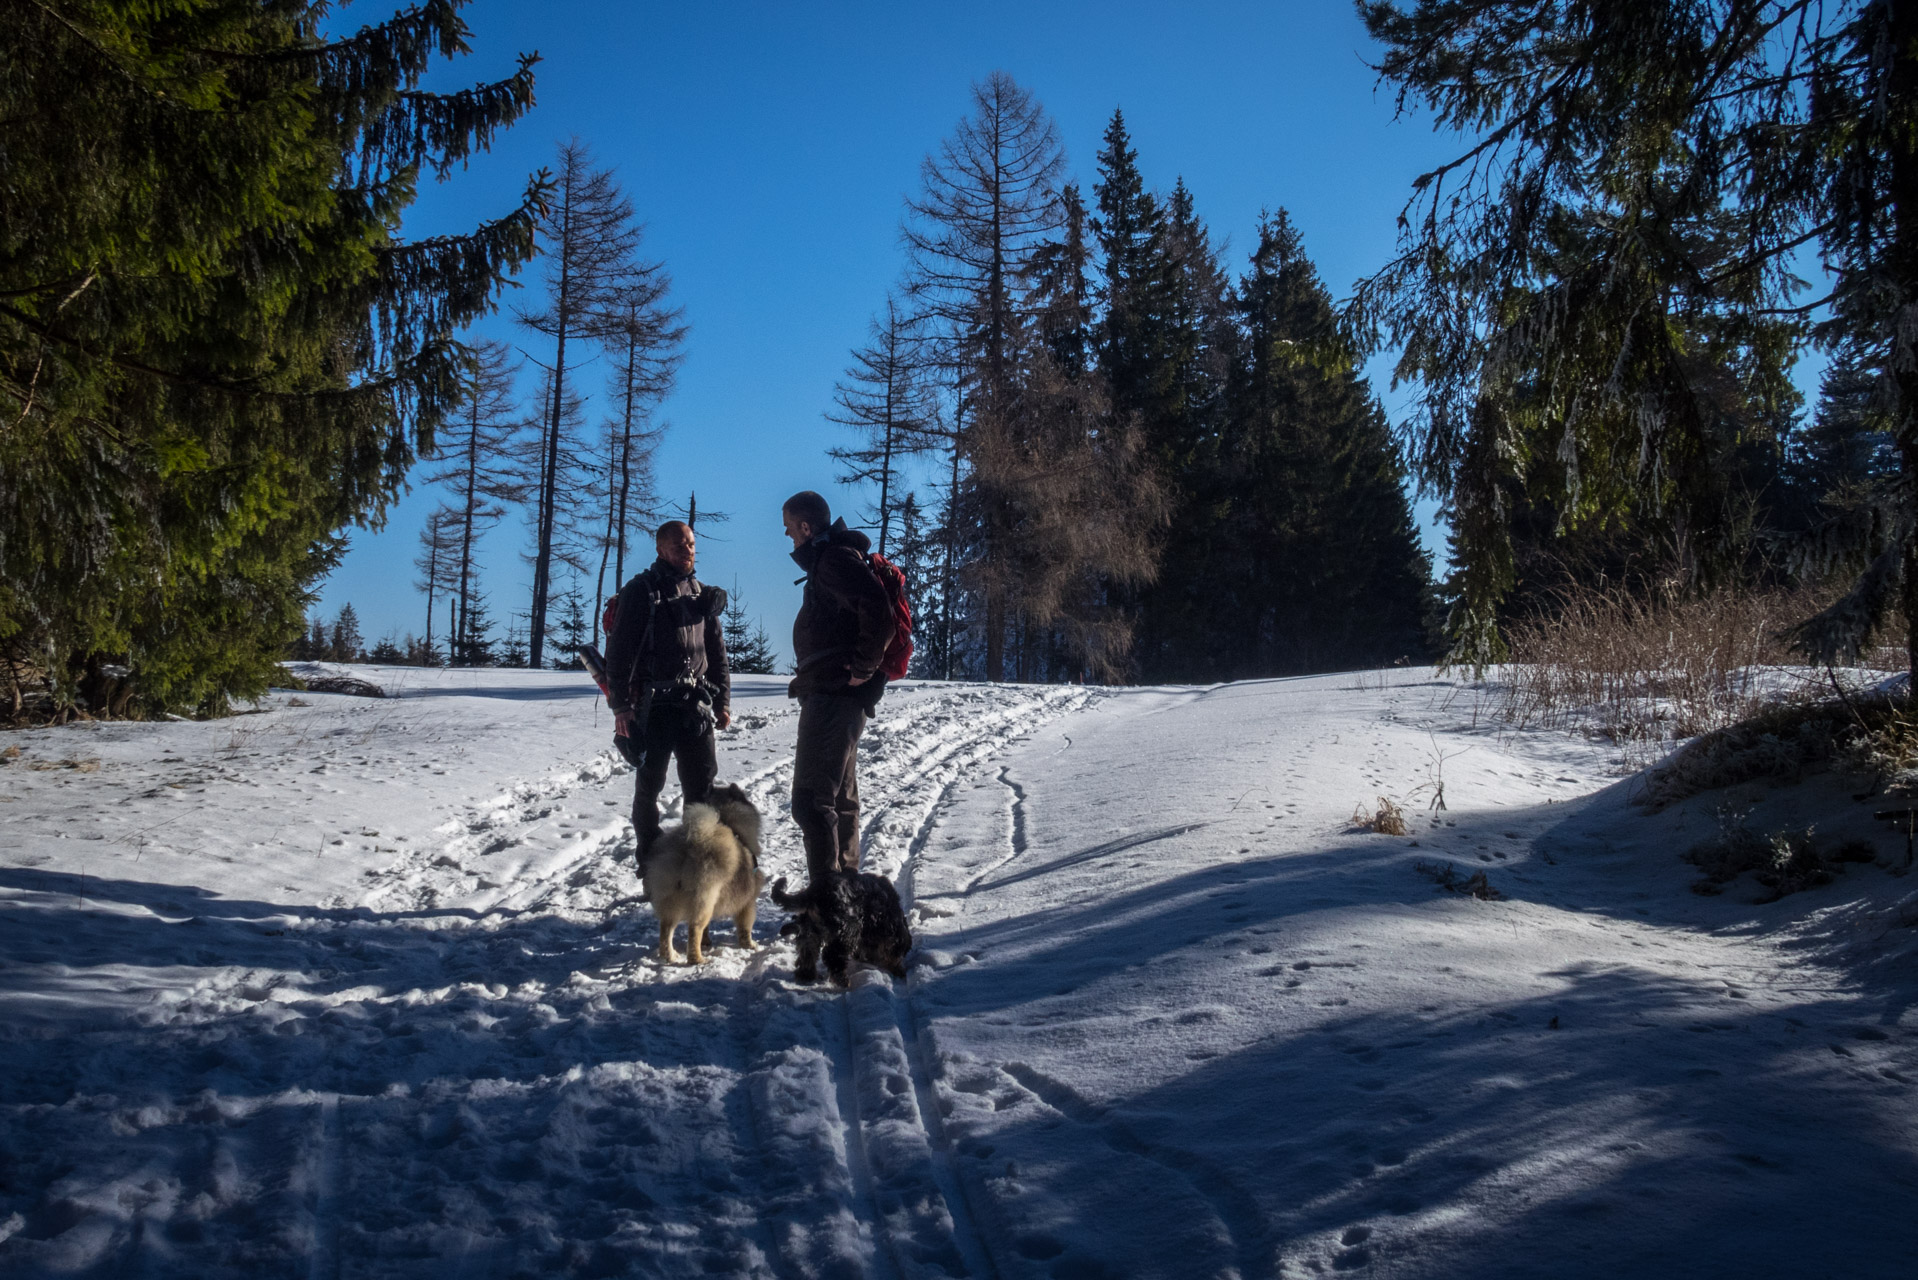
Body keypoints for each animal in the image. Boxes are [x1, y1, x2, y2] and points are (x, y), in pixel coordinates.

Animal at [767, 875, 909, 990]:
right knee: (832, 955)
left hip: (809, 931)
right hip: (847, 930)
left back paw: (806, 975)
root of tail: (814, 892)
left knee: (807, 951)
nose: (902, 974)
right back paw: (843, 980)